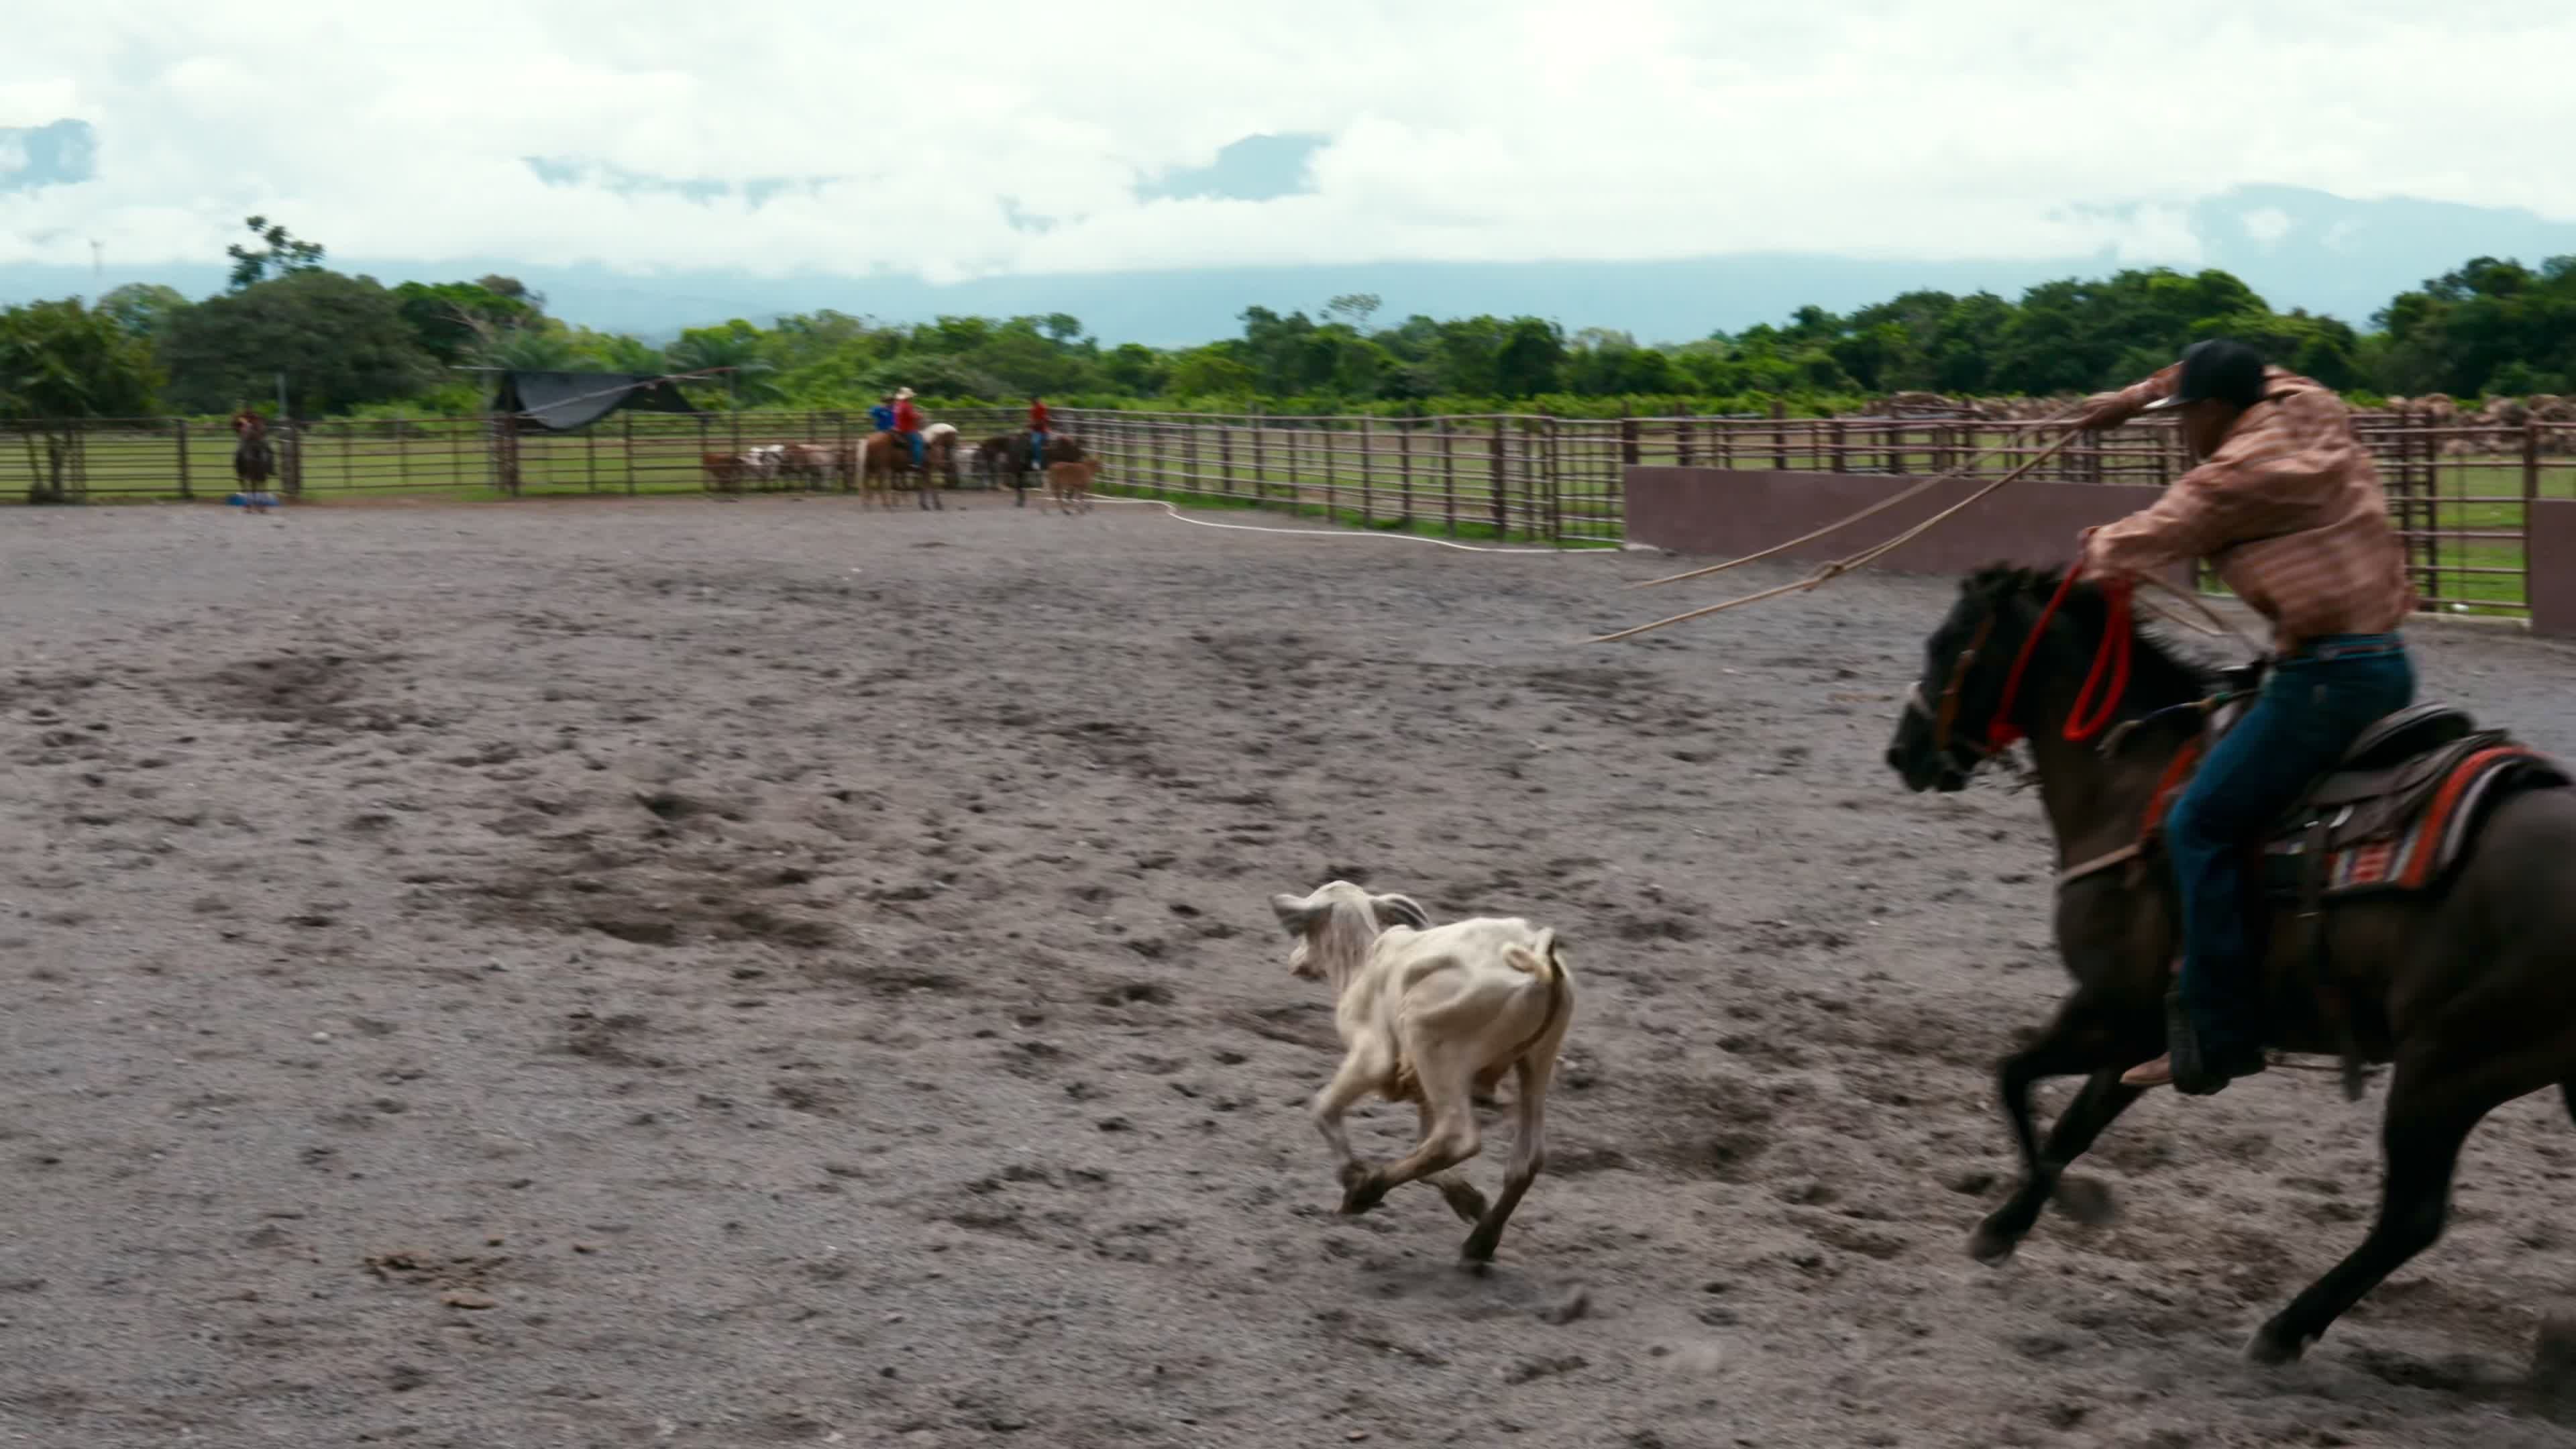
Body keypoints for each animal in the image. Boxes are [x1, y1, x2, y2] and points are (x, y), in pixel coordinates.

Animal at [1270, 880, 1574, 1266]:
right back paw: (1480, 1242)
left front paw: (1353, 1176)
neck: (1362, 963)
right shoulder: (1422, 1091)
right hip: (1535, 1061)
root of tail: (1537, 954)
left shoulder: (1372, 1059)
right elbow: (1423, 1147)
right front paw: (1467, 1198)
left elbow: (1323, 1109)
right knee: (1524, 1158)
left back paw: (1366, 1190)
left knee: (1456, 1139)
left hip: (1432, 1046)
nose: (1294, 961)